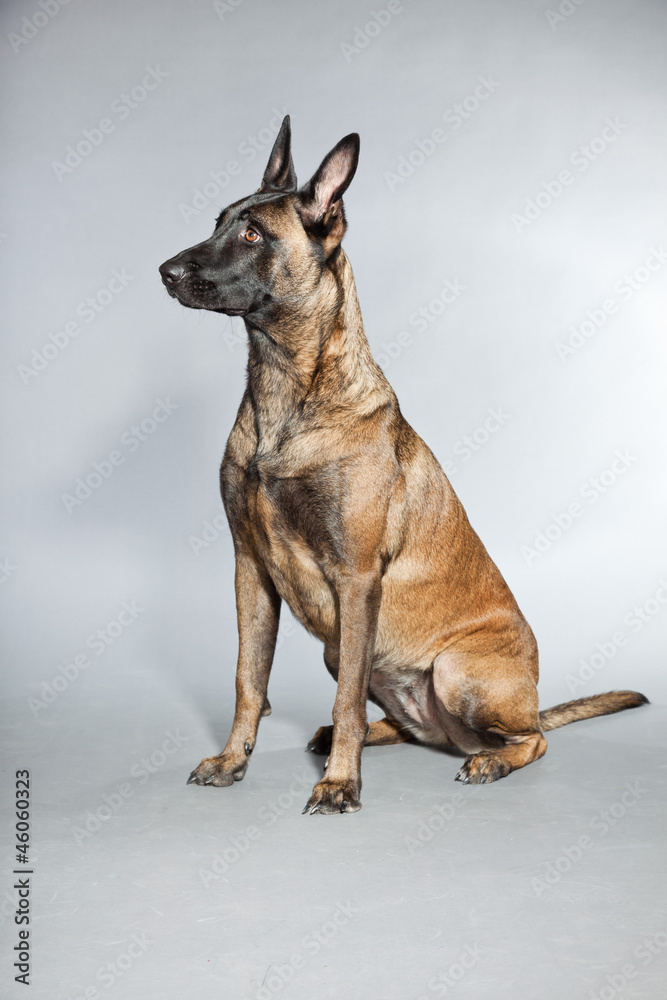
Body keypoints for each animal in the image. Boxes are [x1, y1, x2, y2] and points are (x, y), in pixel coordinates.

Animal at [159, 117, 648, 816]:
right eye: (219, 222)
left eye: (253, 235)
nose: (165, 271)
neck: (288, 389)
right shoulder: (250, 570)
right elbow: (248, 680)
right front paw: (233, 761)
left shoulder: (357, 578)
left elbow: (331, 696)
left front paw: (340, 784)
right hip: (342, 649)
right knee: (398, 722)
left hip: (453, 670)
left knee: (530, 740)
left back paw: (486, 761)